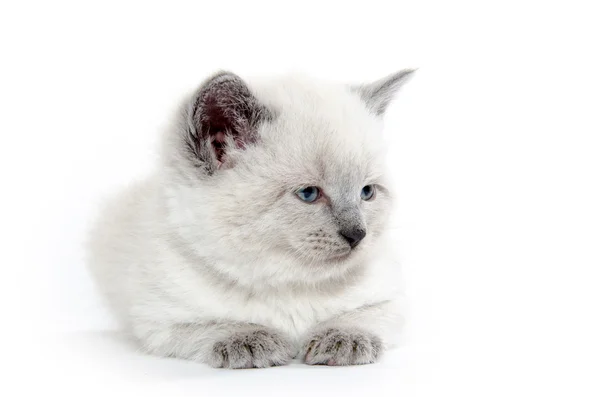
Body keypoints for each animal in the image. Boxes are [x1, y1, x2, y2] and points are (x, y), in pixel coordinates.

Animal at [86, 69, 414, 368]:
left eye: (367, 192)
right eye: (309, 193)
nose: (358, 234)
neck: (286, 281)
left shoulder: (389, 302)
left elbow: (362, 316)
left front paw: (343, 339)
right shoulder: (160, 321)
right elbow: (214, 325)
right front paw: (251, 341)